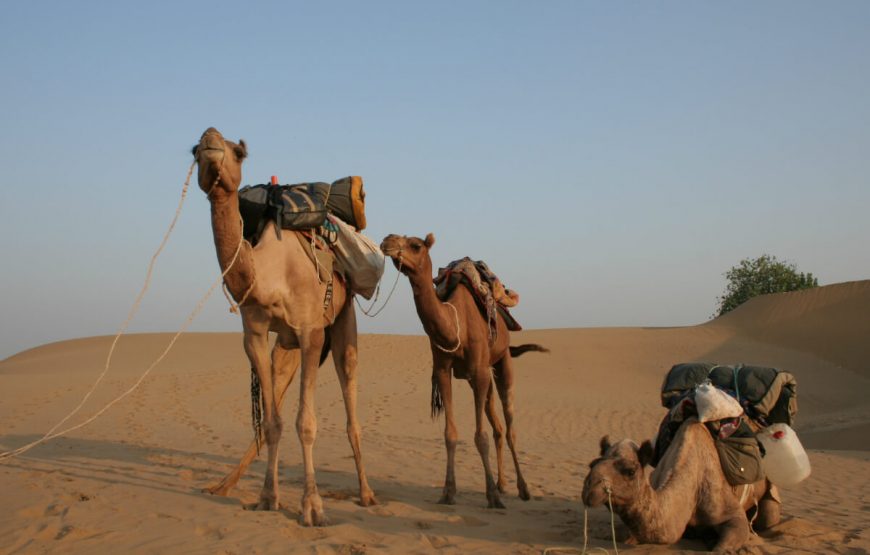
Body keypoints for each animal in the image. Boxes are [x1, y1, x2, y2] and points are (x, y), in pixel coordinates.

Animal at [192, 128, 376, 528]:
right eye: (195, 150)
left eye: (239, 152)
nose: (210, 137)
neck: (268, 274)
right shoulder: (256, 336)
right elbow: (272, 423)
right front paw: (267, 498)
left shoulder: (311, 332)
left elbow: (305, 423)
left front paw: (312, 506)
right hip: (285, 346)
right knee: (273, 402)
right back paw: (222, 485)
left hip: (343, 319)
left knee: (351, 398)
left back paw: (367, 493)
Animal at [380, 232, 544, 510]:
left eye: (416, 245)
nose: (386, 240)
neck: (456, 322)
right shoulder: (443, 371)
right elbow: (450, 434)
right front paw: (448, 492)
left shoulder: (478, 371)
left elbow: (480, 436)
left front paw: (492, 496)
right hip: (483, 376)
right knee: (498, 427)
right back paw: (502, 483)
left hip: (501, 362)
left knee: (509, 425)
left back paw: (523, 489)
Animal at [584, 422, 784, 552]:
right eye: (592, 464)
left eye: (630, 471)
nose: (589, 489)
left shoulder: (727, 509)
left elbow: (725, 542)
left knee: (768, 517)